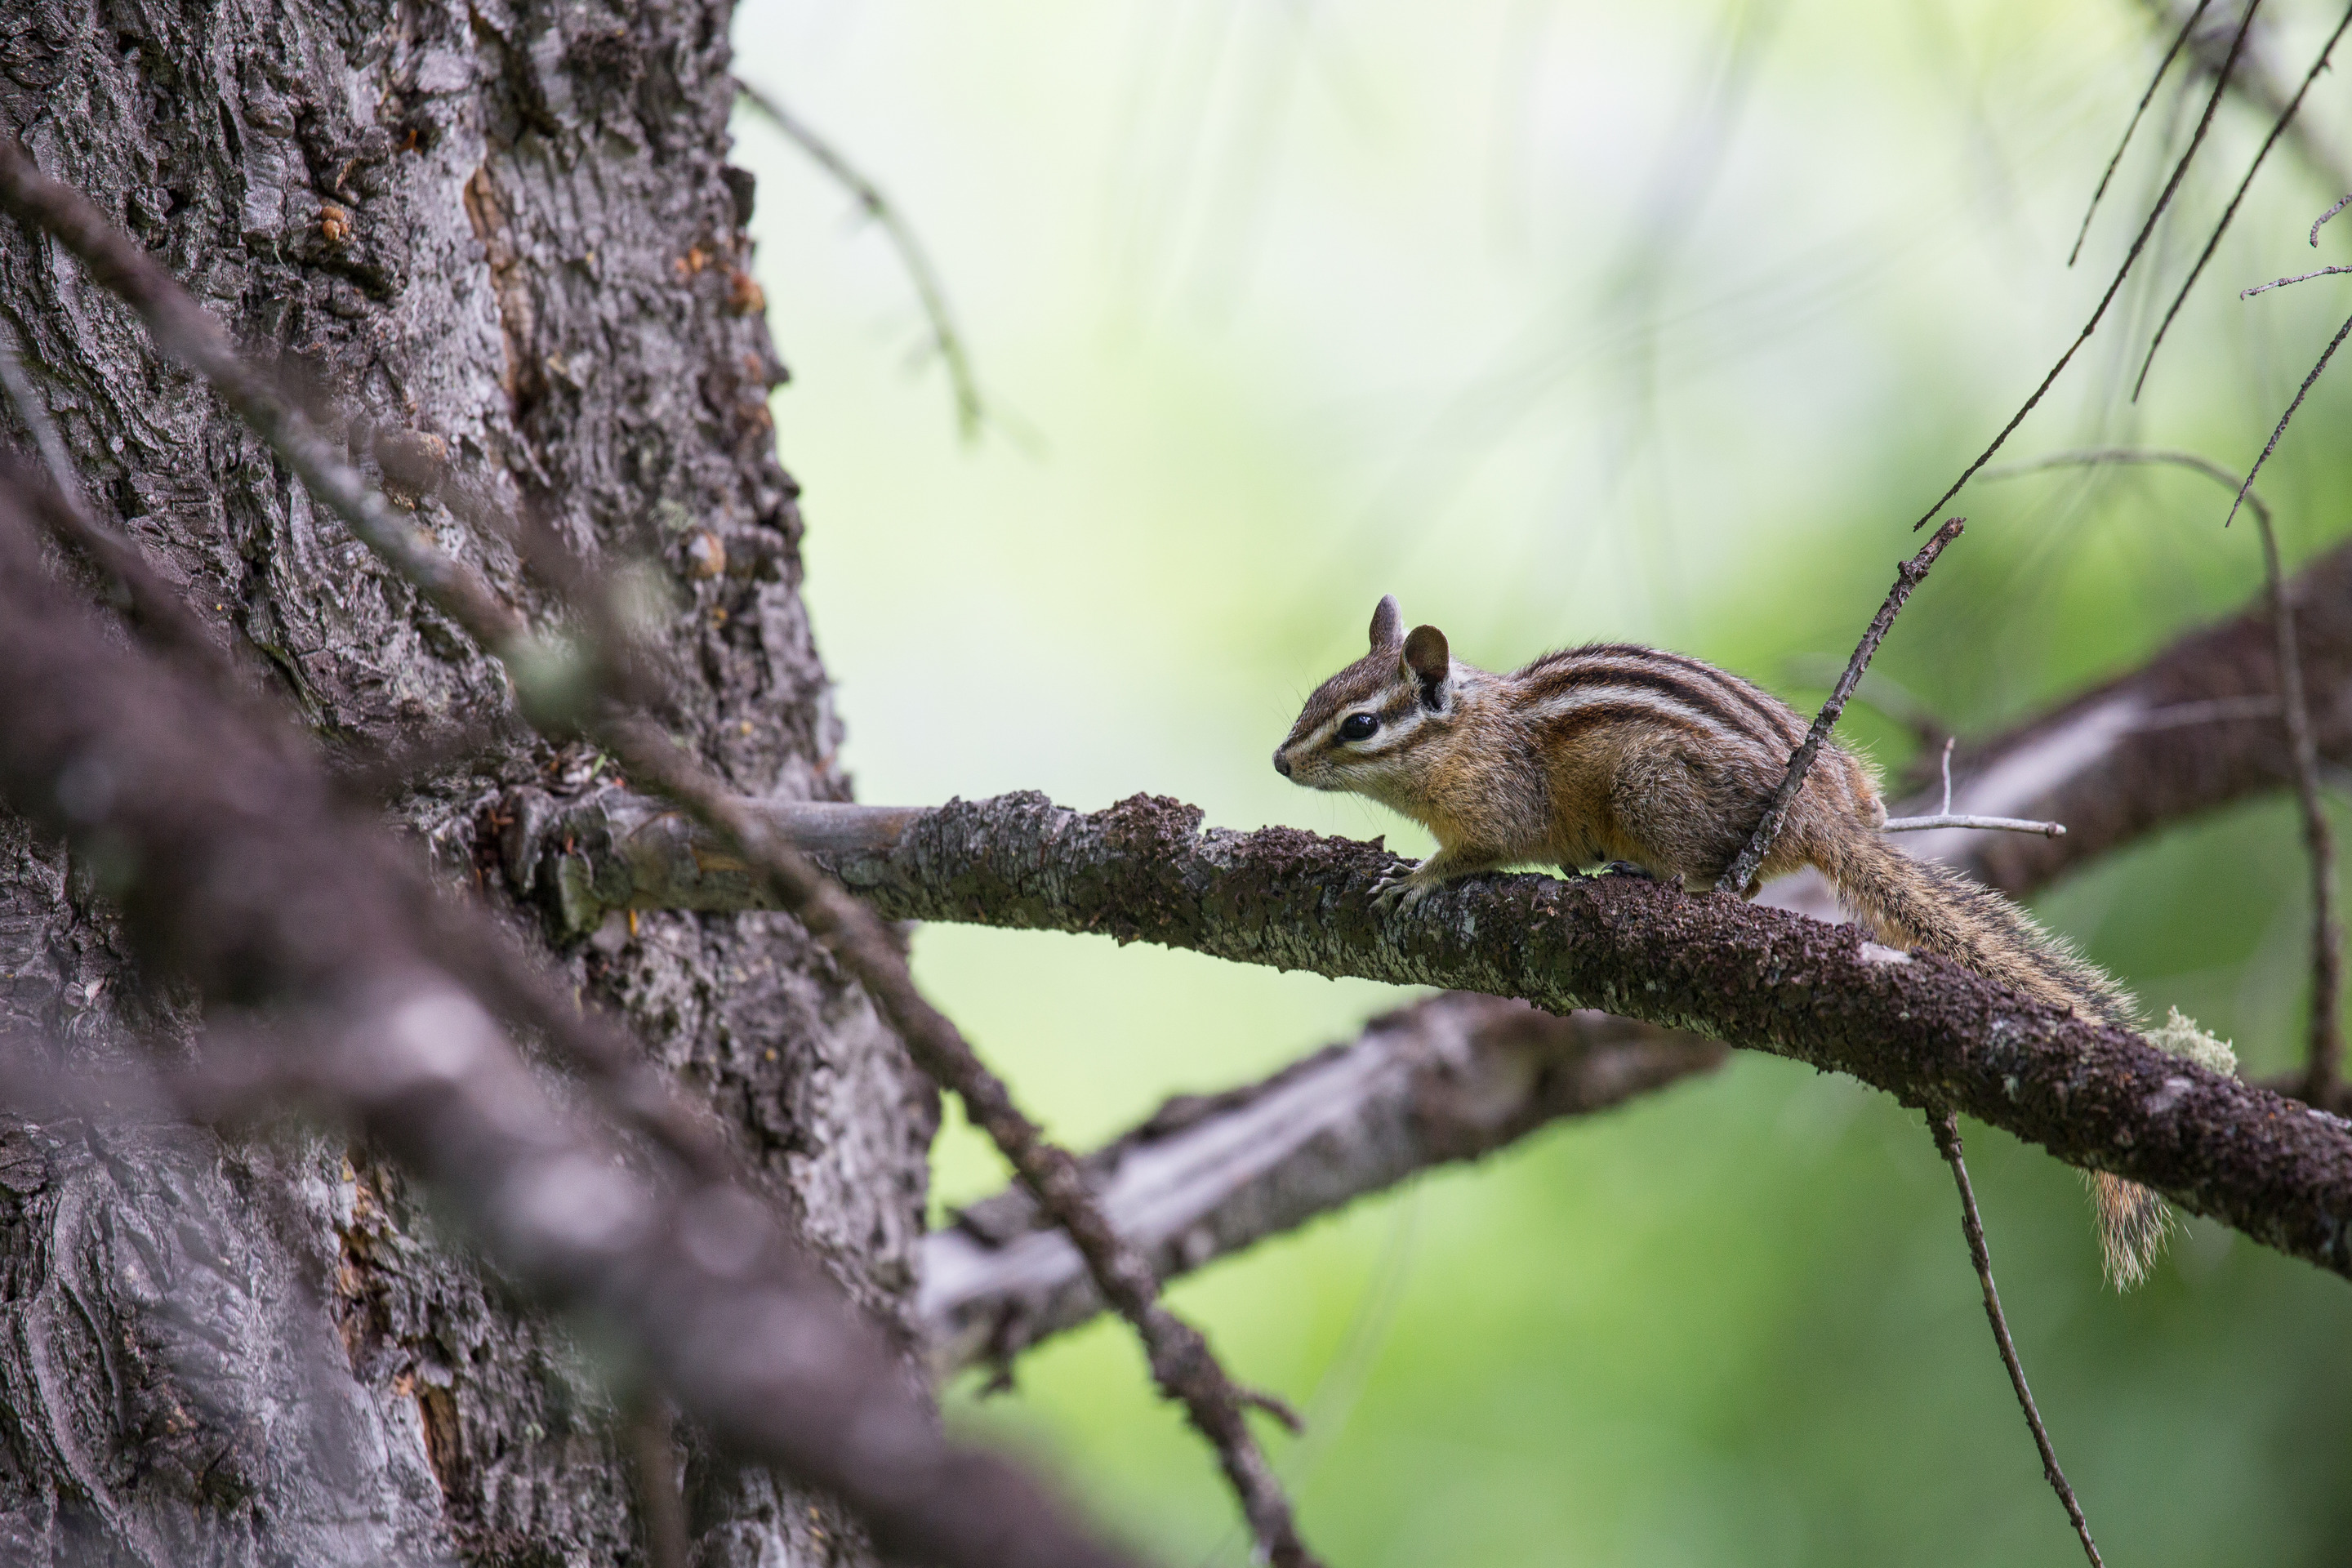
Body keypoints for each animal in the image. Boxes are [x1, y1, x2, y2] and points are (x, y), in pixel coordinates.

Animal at [1275, 594, 2171, 1287]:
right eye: (1314, 697)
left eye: (1359, 725)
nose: (1281, 762)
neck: (1460, 736)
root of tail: (1822, 818)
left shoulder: (1501, 805)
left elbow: (1478, 850)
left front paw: (1418, 877)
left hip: (1650, 790)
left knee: (1715, 883)